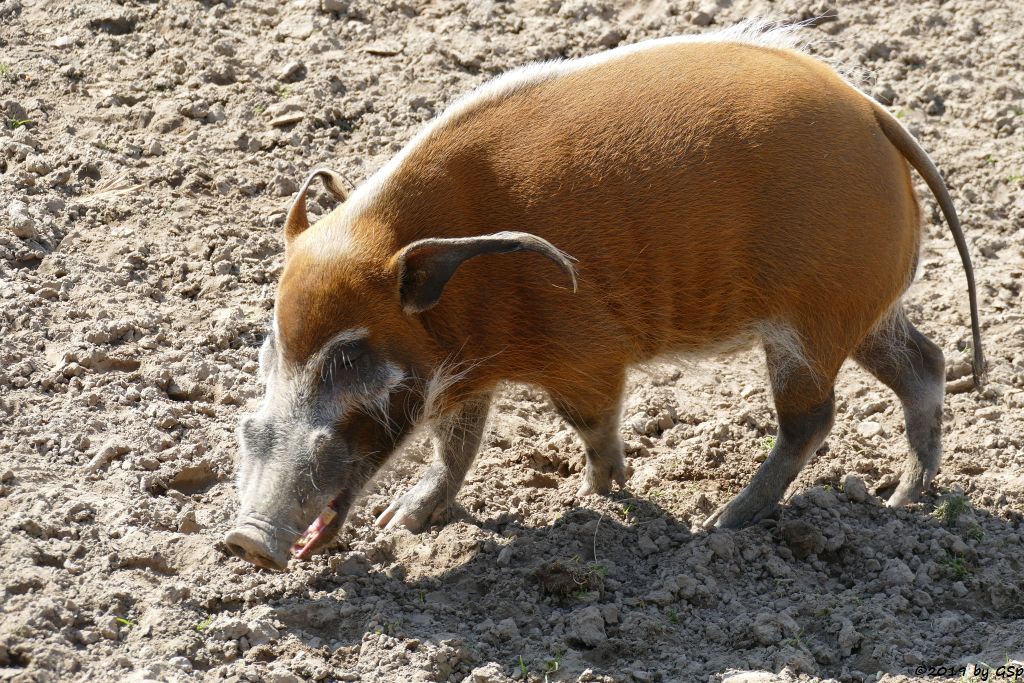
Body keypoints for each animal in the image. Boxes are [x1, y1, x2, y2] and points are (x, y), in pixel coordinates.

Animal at [224, 20, 983, 573]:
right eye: (267, 356)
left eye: (350, 360)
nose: (245, 541)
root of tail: (876, 112)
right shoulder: (464, 374)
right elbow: (455, 445)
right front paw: (403, 521)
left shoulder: (584, 356)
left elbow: (586, 422)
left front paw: (602, 491)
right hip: (862, 311)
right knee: (926, 363)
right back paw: (905, 499)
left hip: (810, 323)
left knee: (812, 419)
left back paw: (721, 522)